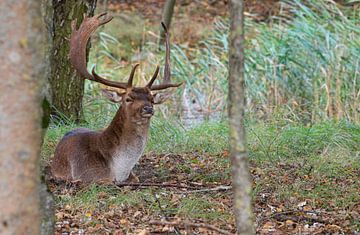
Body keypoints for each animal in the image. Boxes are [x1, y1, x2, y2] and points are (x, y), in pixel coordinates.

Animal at [50, 13, 180, 184]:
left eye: (152, 99)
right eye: (128, 98)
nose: (148, 108)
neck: (119, 170)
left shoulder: (133, 176)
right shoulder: (87, 175)